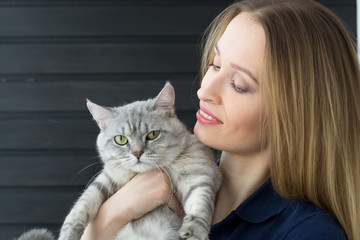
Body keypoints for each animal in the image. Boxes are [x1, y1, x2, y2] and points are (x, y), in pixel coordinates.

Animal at [16, 82, 222, 240]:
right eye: (121, 139)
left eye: (152, 135)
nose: (137, 153)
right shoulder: (106, 180)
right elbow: (82, 206)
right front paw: (68, 233)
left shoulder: (200, 175)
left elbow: (200, 203)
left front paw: (194, 231)